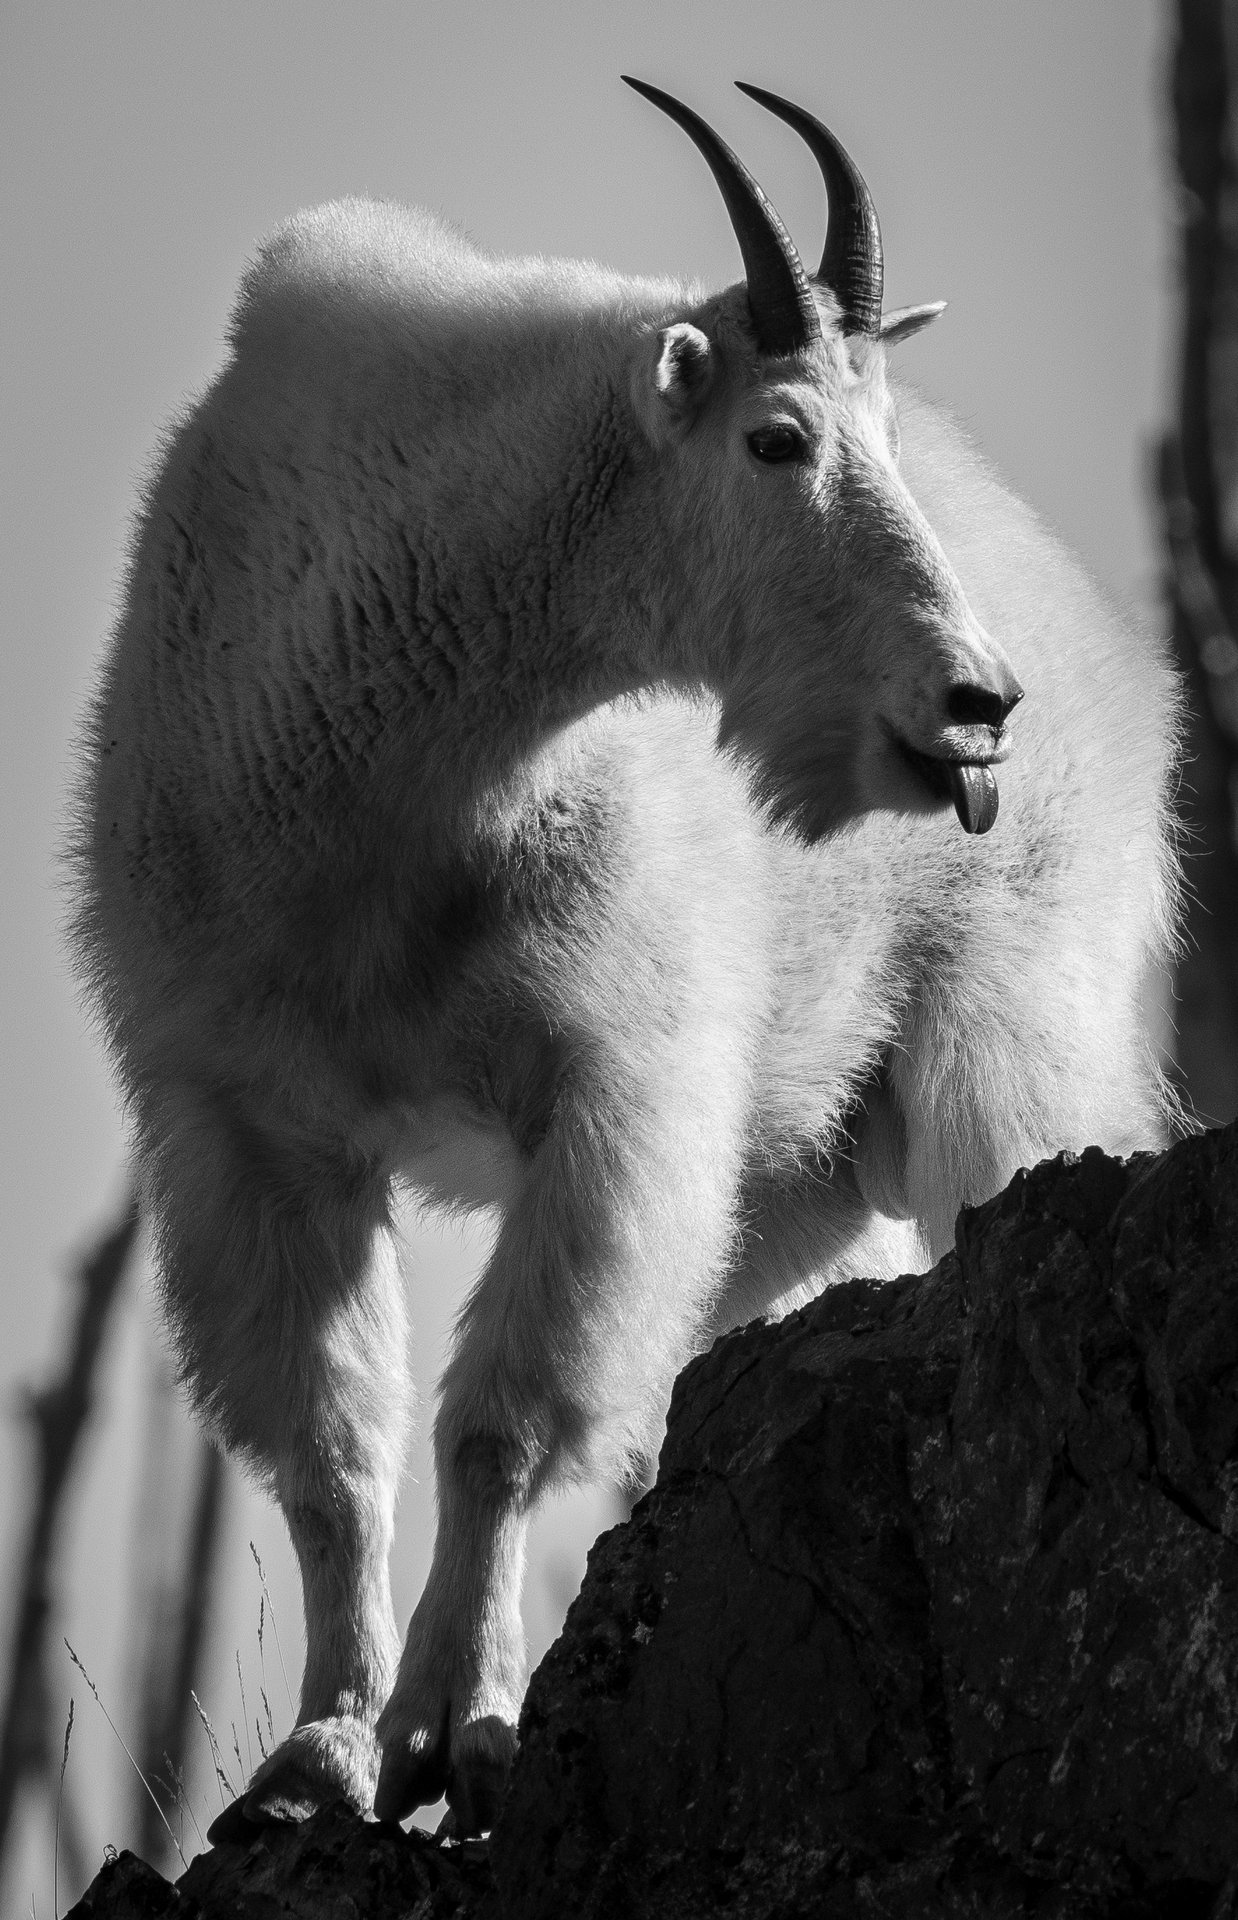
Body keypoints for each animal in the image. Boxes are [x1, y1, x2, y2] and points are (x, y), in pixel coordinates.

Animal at [69, 80, 1179, 1837]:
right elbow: (333, 1448)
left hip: (1002, 1036)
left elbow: (503, 1420)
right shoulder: (250, 1127)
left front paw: (455, 1733)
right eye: (776, 436)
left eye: (871, 429)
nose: (974, 706)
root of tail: (1121, 673)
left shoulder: (614, 1090)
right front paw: (325, 1749)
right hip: (801, 1166)